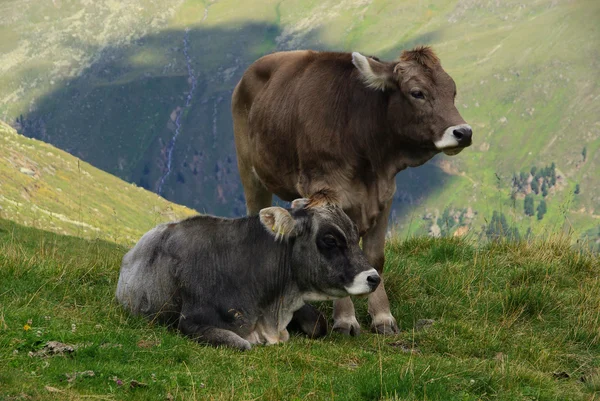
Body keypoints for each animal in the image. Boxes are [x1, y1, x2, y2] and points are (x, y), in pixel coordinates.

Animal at [116, 195, 380, 348]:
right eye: (330, 239)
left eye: (356, 233)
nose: (374, 278)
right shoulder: (191, 321)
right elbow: (244, 344)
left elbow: (319, 324)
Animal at [232, 46, 472, 334]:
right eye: (417, 92)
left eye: (452, 91)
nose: (464, 132)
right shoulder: (326, 189)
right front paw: (345, 320)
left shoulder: (385, 194)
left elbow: (376, 257)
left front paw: (382, 317)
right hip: (250, 172)